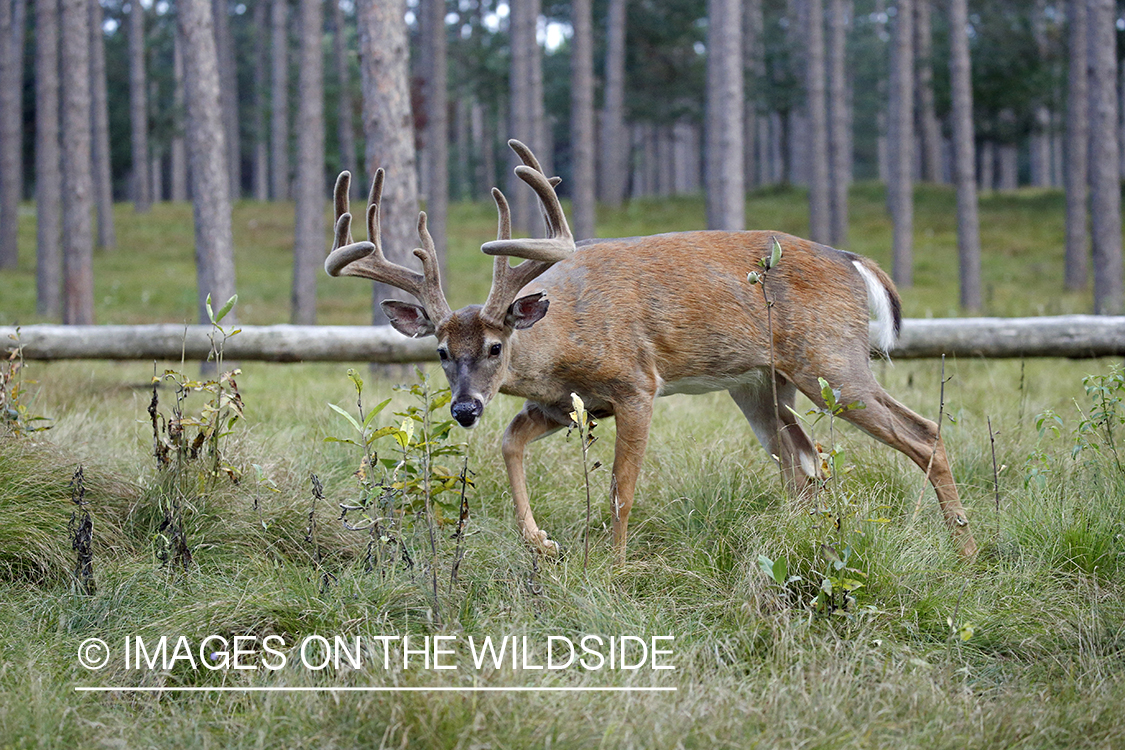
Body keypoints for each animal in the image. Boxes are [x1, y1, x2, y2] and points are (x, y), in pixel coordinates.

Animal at [326, 142, 976, 562]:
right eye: (440, 351)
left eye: (494, 345)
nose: (463, 409)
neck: (562, 334)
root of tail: (854, 261)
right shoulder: (565, 406)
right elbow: (509, 440)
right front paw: (542, 541)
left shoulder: (636, 384)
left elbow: (620, 489)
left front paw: (613, 570)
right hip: (760, 384)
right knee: (804, 460)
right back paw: (801, 541)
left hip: (831, 360)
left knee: (922, 434)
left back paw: (966, 548)